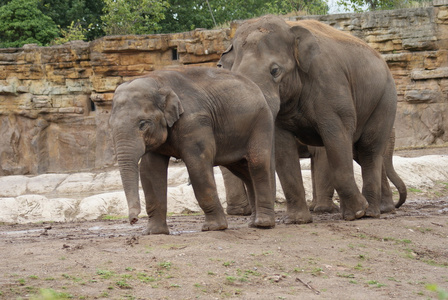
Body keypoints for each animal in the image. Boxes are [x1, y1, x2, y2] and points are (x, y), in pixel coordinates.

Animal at [109, 67, 276, 234]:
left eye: (143, 124)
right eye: (111, 125)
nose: (134, 220)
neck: (157, 81)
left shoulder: (194, 122)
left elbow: (198, 165)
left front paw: (214, 227)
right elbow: (150, 171)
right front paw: (153, 232)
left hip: (261, 123)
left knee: (258, 165)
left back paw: (263, 224)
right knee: (244, 172)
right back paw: (253, 224)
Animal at [220, 15, 400, 220]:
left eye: (275, 71)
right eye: (238, 77)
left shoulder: (330, 85)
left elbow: (335, 140)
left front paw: (356, 212)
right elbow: (283, 148)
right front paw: (297, 220)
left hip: (384, 99)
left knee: (369, 150)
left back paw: (371, 212)